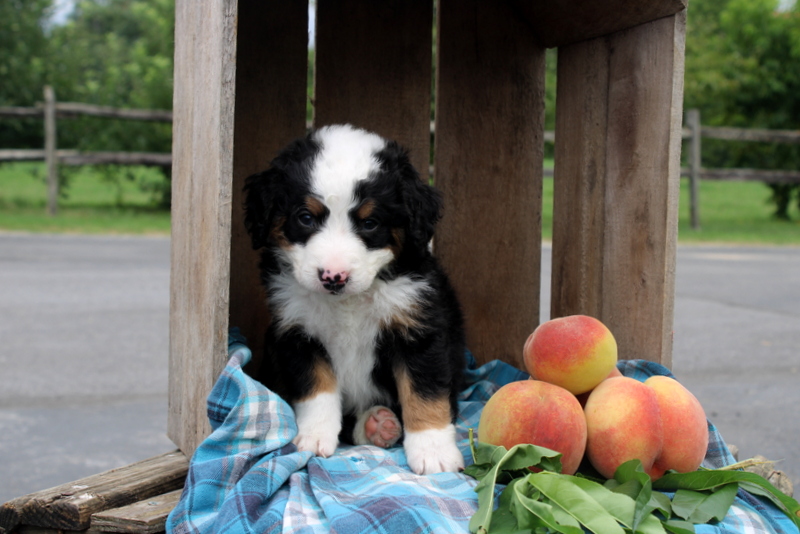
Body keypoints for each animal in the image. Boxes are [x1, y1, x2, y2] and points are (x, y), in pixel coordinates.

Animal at [244, 123, 468, 476]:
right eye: (305, 218)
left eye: (369, 223)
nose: (333, 276)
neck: (348, 302)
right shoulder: (296, 332)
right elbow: (316, 388)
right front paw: (314, 436)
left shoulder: (418, 330)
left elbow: (425, 393)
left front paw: (433, 451)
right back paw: (374, 425)